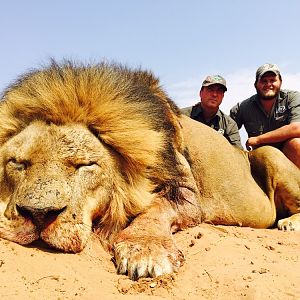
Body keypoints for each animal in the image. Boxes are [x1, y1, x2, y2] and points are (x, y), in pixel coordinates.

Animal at [0, 59, 300, 280]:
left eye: (85, 165)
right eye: (17, 163)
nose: (38, 215)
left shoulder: (188, 197)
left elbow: (155, 209)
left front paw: (144, 251)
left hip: (268, 152)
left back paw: (289, 223)